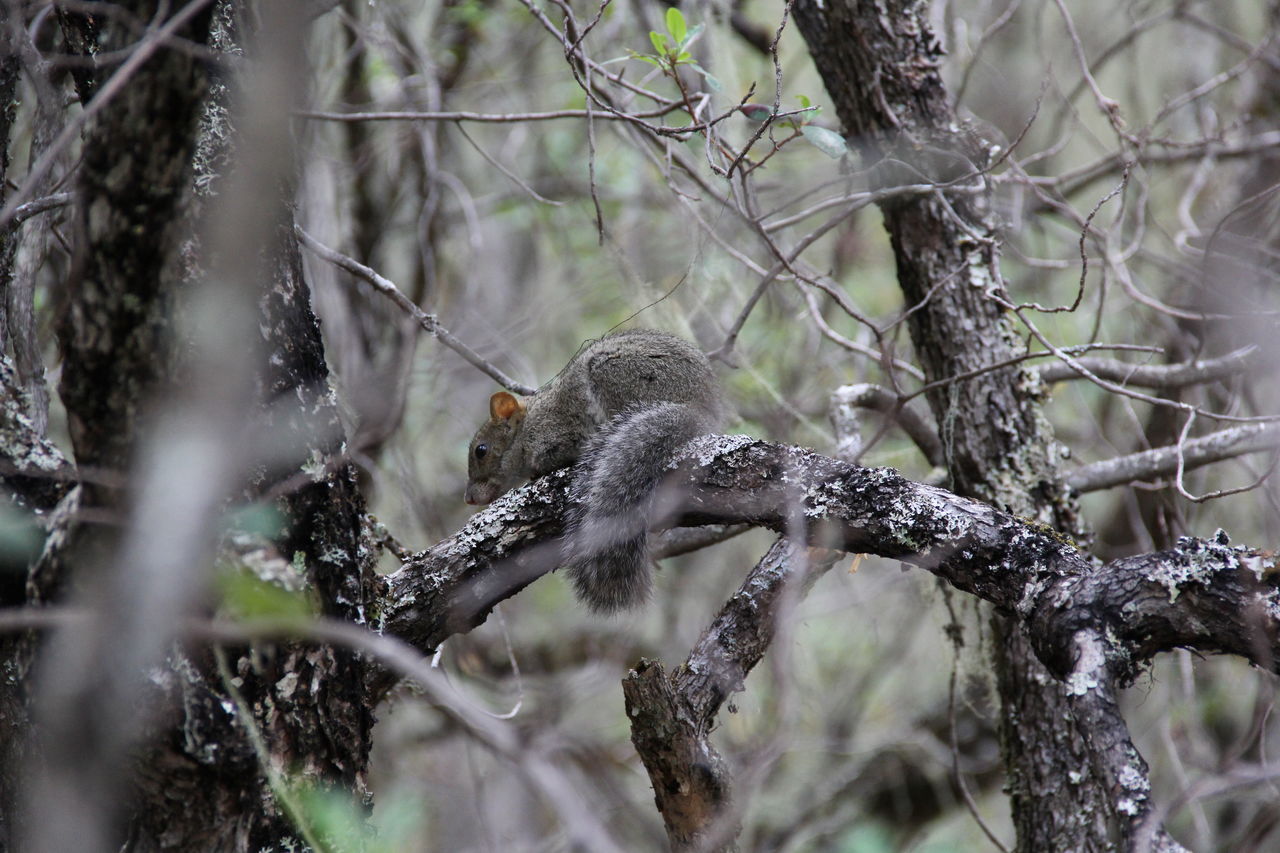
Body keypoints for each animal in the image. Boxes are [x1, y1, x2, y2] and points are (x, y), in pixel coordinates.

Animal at [463, 326, 727, 612]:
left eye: (481, 450)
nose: (469, 498)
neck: (529, 425)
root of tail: (701, 412)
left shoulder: (559, 436)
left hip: (616, 374)